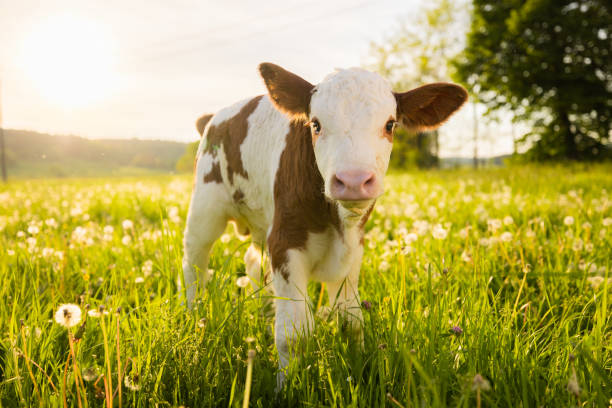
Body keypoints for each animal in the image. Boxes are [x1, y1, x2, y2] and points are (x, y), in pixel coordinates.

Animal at [182, 63, 468, 382]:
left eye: (390, 124)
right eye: (316, 124)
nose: (353, 181)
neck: (335, 221)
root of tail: (215, 117)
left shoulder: (353, 246)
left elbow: (351, 321)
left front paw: (358, 369)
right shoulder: (285, 242)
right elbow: (294, 334)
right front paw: (288, 385)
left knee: (254, 263)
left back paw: (266, 314)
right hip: (206, 205)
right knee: (195, 261)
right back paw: (195, 316)